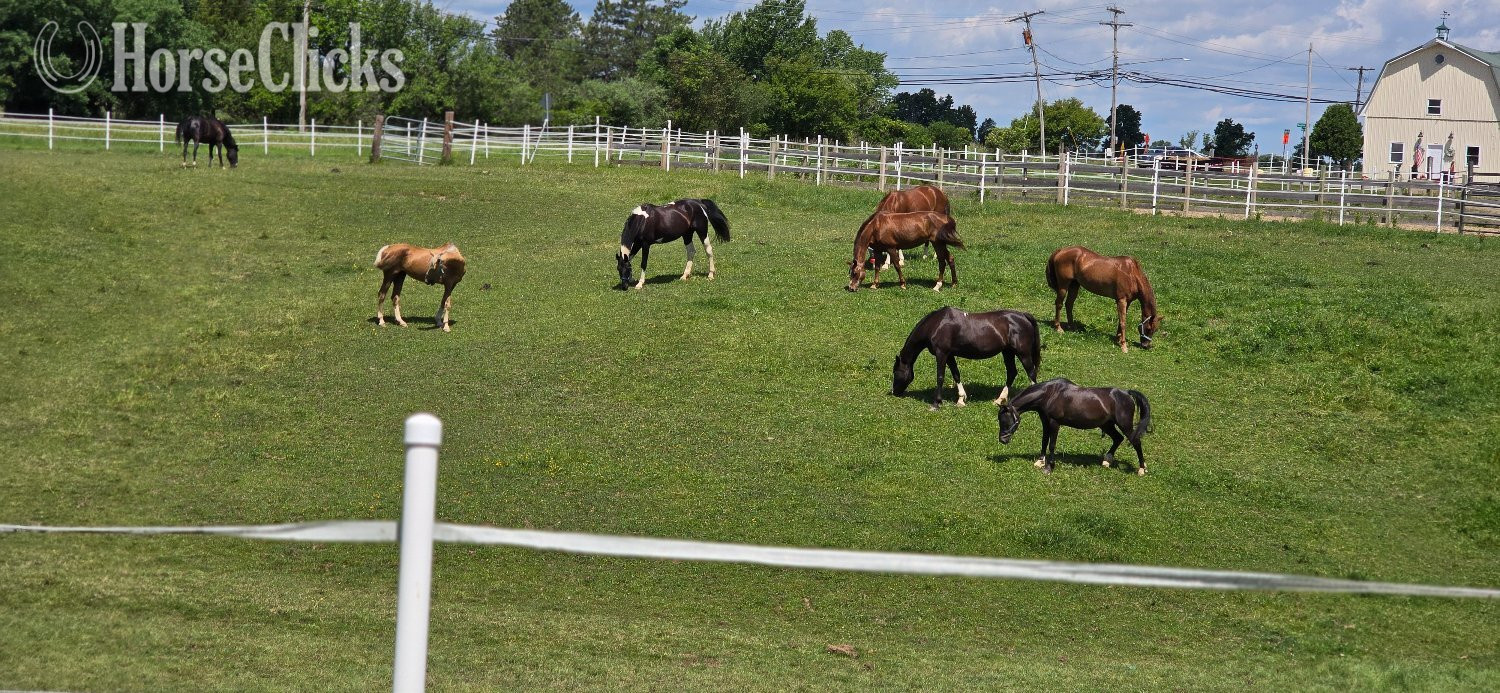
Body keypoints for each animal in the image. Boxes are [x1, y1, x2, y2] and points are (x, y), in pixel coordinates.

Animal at [892, 307, 1041, 410]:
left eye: (895, 372)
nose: (894, 392)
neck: (936, 325)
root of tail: (1023, 315)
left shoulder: (941, 354)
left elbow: (940, 377)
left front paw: (936, 403)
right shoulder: (950, 355)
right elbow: (956, 374)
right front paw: (961, 400)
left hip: (1023, 353)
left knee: (1031, 373)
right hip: (1008, 352)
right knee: (1012, 373)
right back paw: (999, 400)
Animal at [996, 378, 1152, 475]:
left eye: (1005, 420)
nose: (1002, 440)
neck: (1049, 394)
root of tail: (1126, 393)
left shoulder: (1054, 423)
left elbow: (1051, 444)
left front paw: (1049, 467)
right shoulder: (1045, 422)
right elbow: (1044, 441)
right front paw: (1040, 462)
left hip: (1125, 425)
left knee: (1136, 441)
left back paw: (1141, 469)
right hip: (1107, 425)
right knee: (1118, 438)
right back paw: (1107, 461)